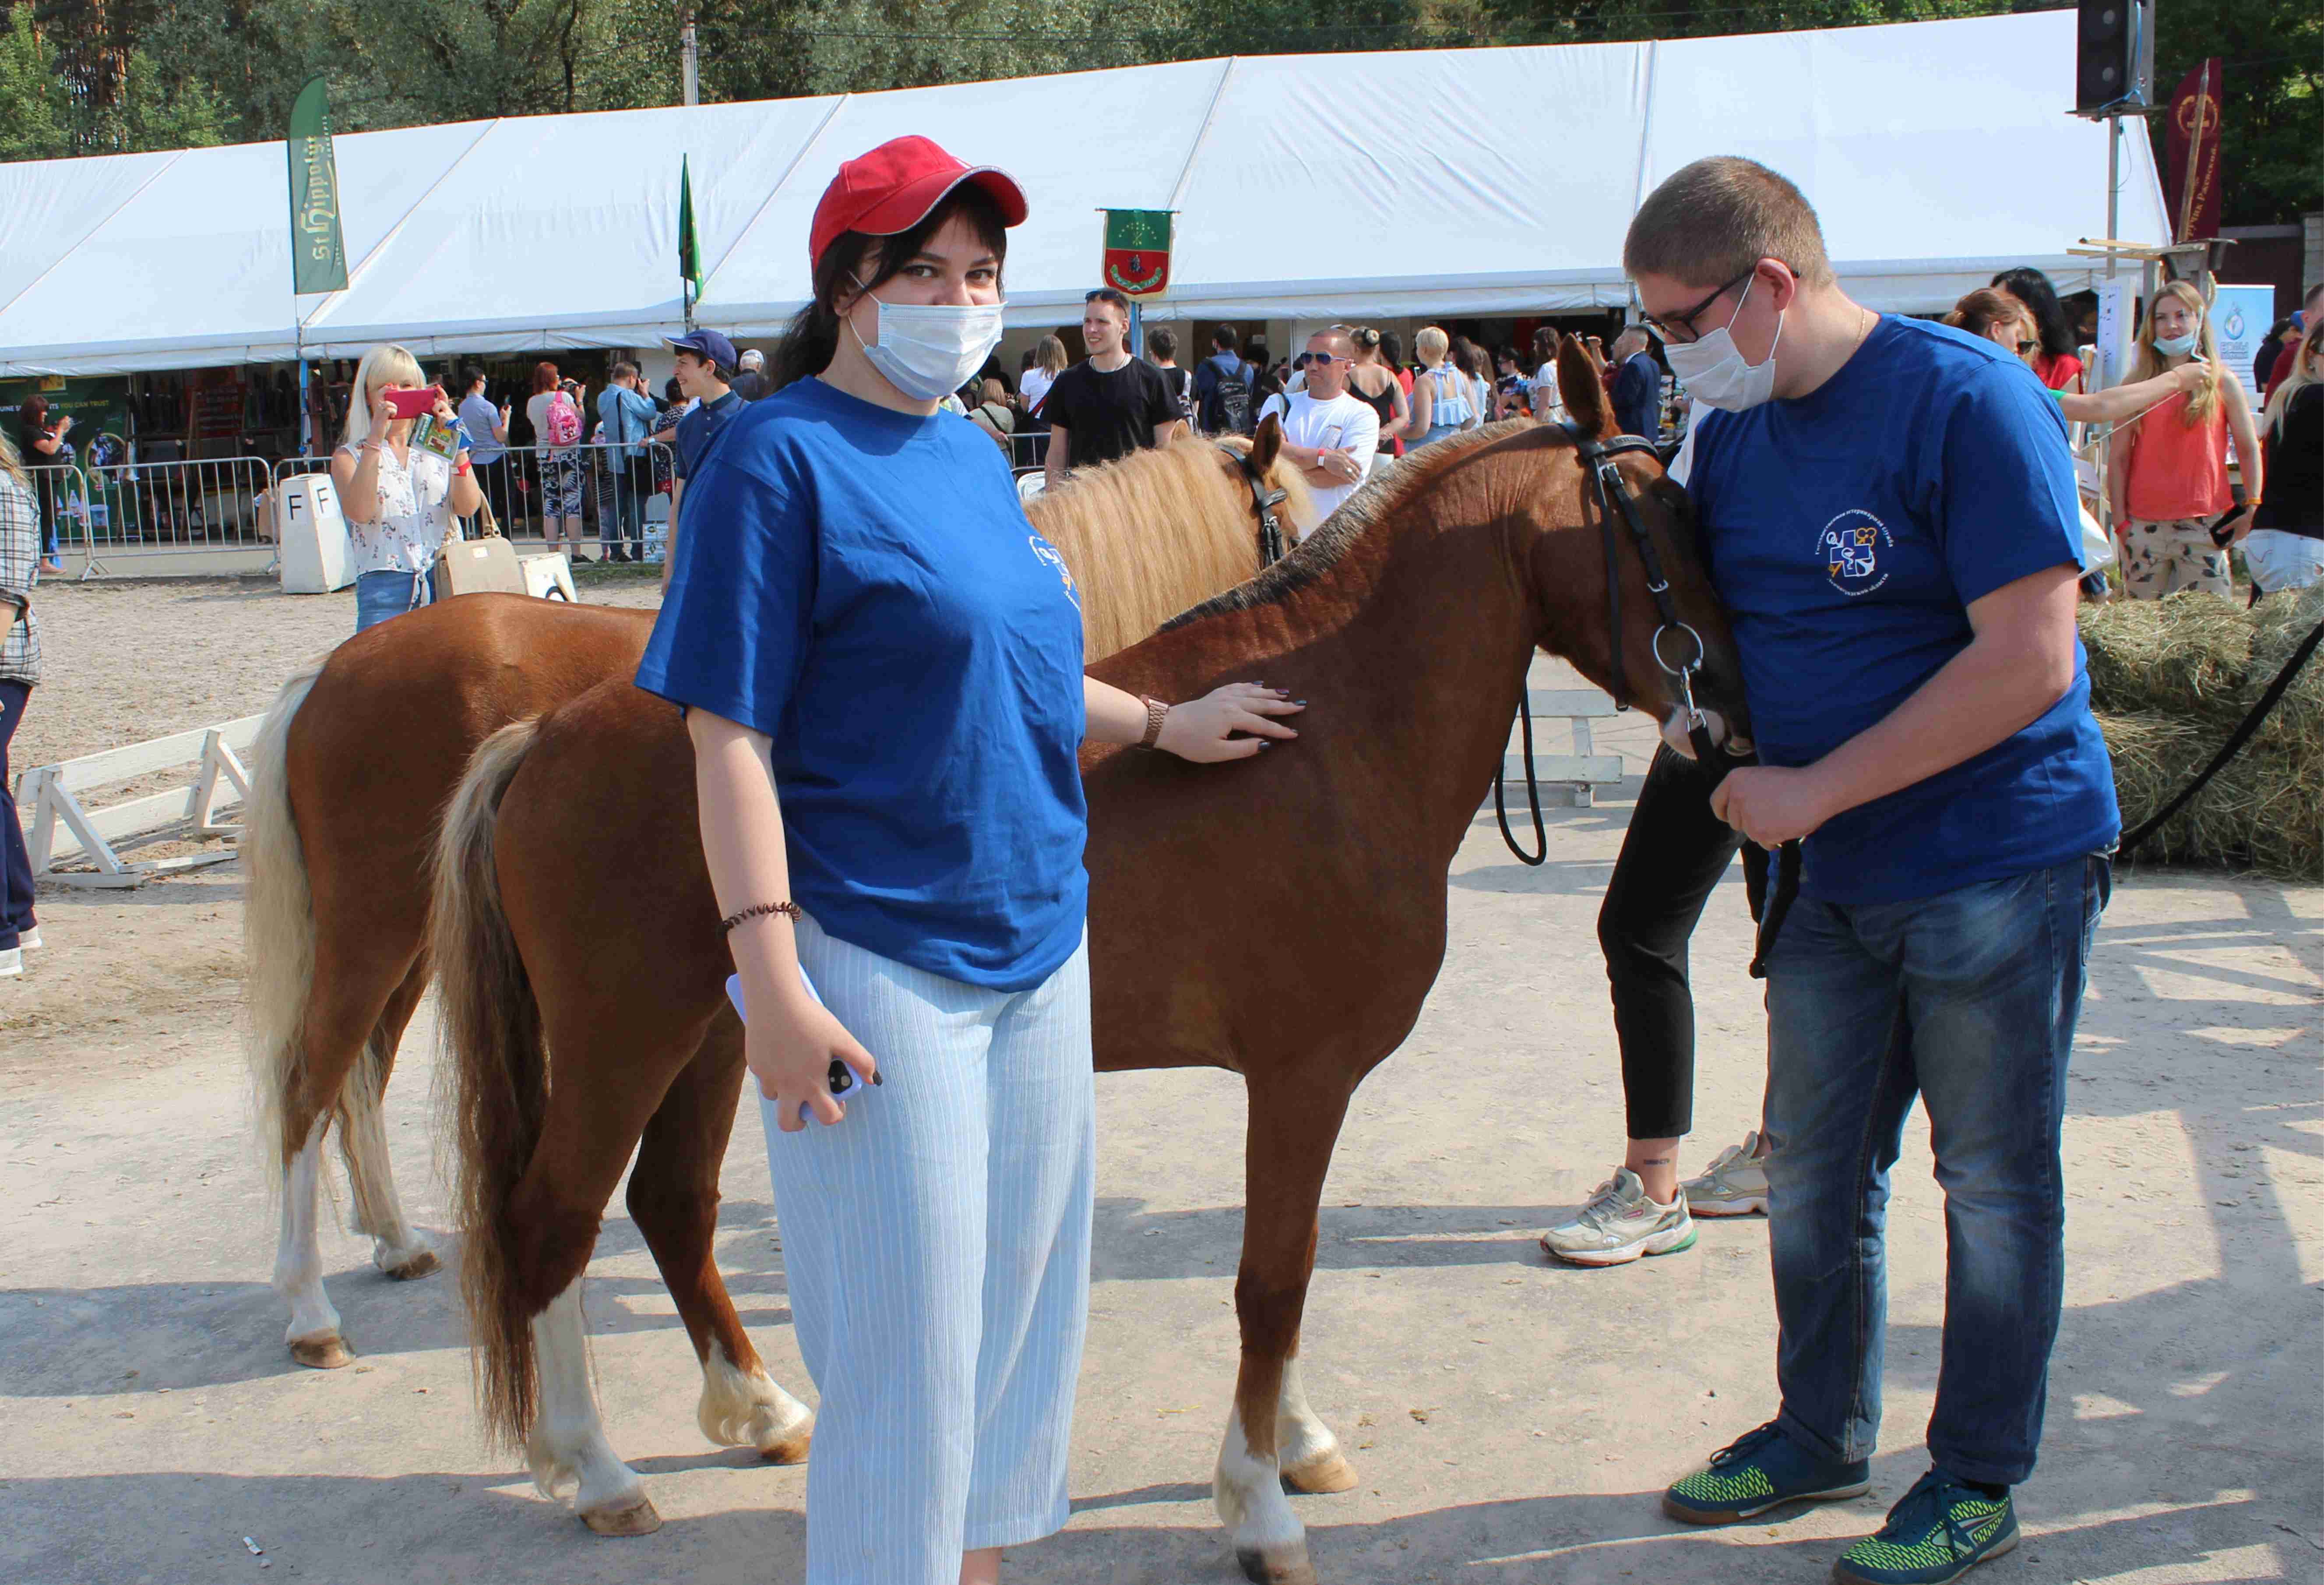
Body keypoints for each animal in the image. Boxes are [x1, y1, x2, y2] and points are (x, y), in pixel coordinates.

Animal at [245, 425, 1320, 1376]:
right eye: (1289, 519)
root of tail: (328, 675)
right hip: (375, 931)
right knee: (309, 1078)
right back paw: (307, 1308)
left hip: (416, 941)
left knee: (361, 1075)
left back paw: (391, 1240)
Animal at [432, 339, 1747, 1571]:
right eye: (1665, 523)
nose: (1735, 721)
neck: (1330, 727)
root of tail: (545, 733)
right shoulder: (1301, 1076)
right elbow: (1272, 1277)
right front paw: (1258, 1504)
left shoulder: (1301, 1088)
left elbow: (1291, 1266)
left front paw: (1295, 1443)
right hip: (622, 1046)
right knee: (551, 1220)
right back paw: (597, 1473)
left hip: (717, 1042)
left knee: (669, 1204)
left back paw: (759, 1412)